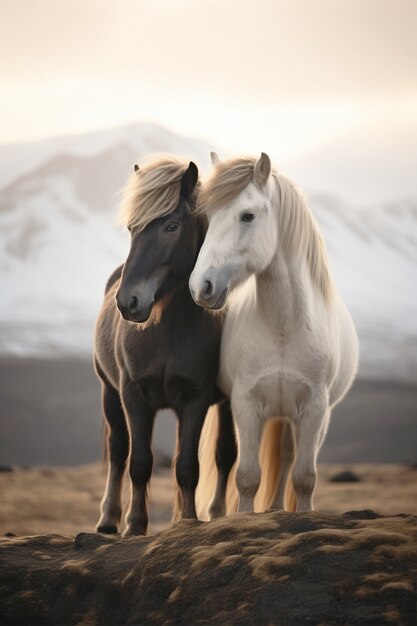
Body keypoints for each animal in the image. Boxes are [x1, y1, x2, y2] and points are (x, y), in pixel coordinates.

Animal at [95, 154, 237, 532]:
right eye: (132, 228)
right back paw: (107, 519)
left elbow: (187, 466)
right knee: (117, 450)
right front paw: (134, 525)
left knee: (225, 454)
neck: (167, 332)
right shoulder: (132, 395)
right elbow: (139, 462)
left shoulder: (196, 399)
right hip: (109, 392)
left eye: (171, 226)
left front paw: (187, 521)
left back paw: (216, 512)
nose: (128, 302)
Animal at [190, 150, 356, 512]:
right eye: (207, 216)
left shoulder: (316, 410)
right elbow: (247, 477)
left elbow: (304, 477)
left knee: (288, 460)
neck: (284, 326)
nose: (200, 287)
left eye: (247, 216)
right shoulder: (245, 404)